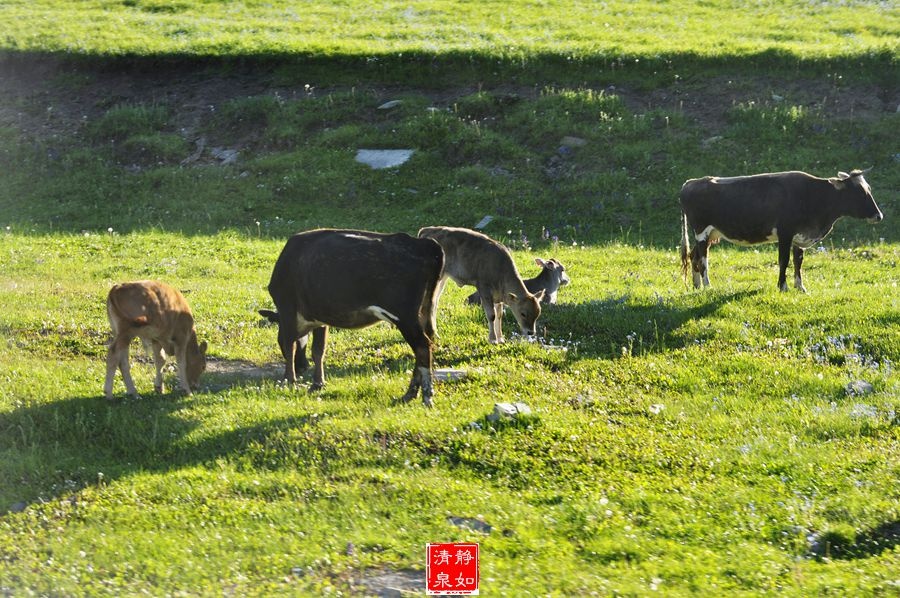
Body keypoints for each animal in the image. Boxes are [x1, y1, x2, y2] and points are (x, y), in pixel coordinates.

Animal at [258, 229, 444, 408]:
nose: (302, 367)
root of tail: (423, 243)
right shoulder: (320, 317)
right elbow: (318, 350)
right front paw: (317, 384)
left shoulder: (287, 307)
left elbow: (290, 345)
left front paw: (288, 381)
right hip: (425, 311)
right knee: (427, 343)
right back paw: (410, 395)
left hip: (405, 316)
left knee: (423, 347)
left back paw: (424, 396)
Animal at [680, 169, 884, 292]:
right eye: (860, 192)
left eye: (869, 189)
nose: (879, 216)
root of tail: (690, 182)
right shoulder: (785, 233)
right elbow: (784, 260)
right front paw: (783, 286)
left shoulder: (799, 237)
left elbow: (798, 261)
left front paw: (800, 287)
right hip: (702, 231)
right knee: (702, 259)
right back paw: (707, 285)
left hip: (710, 234)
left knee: (693, 256)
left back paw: (697, 286)